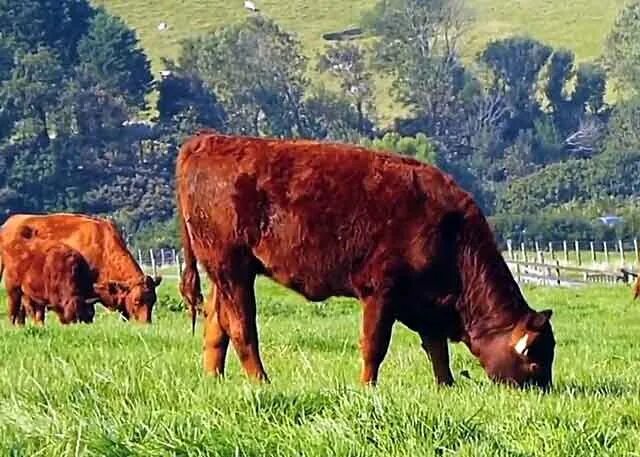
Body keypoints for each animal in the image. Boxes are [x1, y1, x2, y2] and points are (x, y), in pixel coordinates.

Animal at [176, 131, 556, 388]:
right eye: (536, 362)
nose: (543, 391)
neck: (451, 230)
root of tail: (206, 142)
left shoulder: (426, 304)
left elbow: (436, 349)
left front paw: (445, 385)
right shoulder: (380, 294)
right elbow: (375, 345)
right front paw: (367, 386)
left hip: (226, 275)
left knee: (217, 324)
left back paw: (214, 378)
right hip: (233, 271)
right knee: (242, 328)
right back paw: (261, 380)